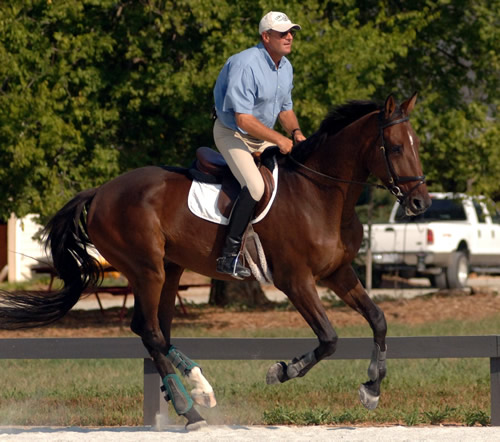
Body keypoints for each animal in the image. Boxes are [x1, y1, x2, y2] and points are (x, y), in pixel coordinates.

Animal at [0, 92, 430, 428]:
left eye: (416, 145)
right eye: (395, 148)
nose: (420, 203)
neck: (323, 193)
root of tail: (102, 191)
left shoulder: (338, 273)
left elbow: (378, 319)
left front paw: (372, 388)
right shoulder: (295, 280)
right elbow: (329, 338)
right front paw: (281, 371)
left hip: (169, 269)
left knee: (155, 331)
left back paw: (196, 395)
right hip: (147, 269)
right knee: (151, 331)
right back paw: (192, 406)